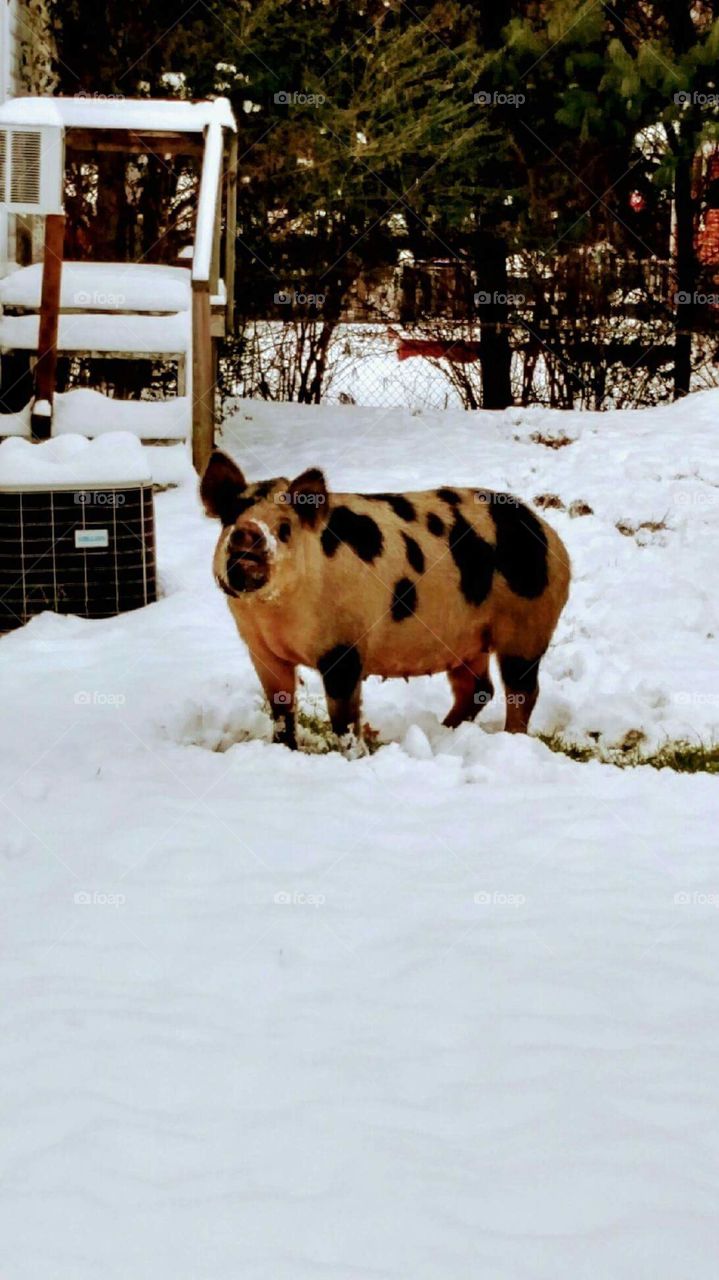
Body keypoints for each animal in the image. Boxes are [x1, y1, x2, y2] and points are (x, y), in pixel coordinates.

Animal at [201, 450, 570, 750]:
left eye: (283, 528)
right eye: (230, 518)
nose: (247, 531)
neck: (273, 611)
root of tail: (549, 535)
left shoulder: (345, 646)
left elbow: (344, 715)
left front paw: (352, 756)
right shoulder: (261, 650)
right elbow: (280, 706)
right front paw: (284, 749)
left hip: (527, 626)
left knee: (522, 690)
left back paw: (511, 738)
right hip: (468, 642)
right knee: (479, 688)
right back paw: (443, 731)